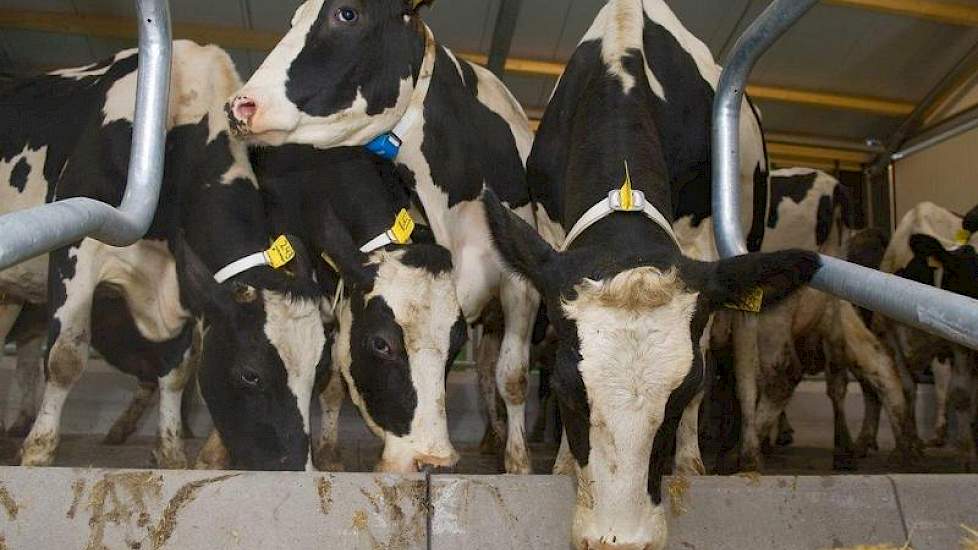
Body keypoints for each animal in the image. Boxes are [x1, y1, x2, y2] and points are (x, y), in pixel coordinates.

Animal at [0, 41, 328, 472]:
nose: (297, 470)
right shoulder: (77, 248)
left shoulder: (183, 281)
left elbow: (177, 369)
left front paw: (171, 452)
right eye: (250, 374)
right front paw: (38, 451)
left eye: (317, 371)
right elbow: (65, 356)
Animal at [480, 2, 816, 548]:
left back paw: (745, 450)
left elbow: (708, 359)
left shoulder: (702, 245)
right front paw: (562, 462)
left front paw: (690, 460)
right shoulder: (550, 232)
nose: (621, 539)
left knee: (747, 364)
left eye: (679, 395)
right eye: (566, 388)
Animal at [868, 202, 976, 470]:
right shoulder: (889, 336)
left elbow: (961, 394)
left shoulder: (959, 343)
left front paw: (969, 455)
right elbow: (905, 389)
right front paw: (906, 449)